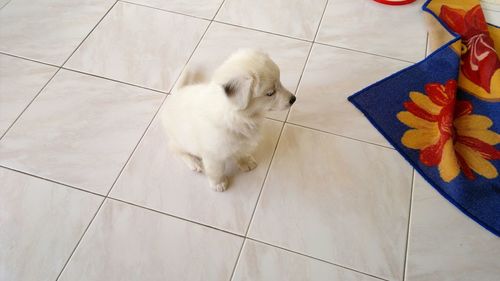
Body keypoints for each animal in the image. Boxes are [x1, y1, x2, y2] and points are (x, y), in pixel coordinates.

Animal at [164, 49, 294, 191]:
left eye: (280, 82)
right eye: (270, 93)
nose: (293, 99)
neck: (238, 115)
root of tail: (175, 94)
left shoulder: (241, 142)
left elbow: (241, 152)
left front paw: (245, 162)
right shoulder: (213, 153)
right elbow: (215, 170)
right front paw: (218, 183)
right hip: (181, 140)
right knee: (175, 148)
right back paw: (194, 163)